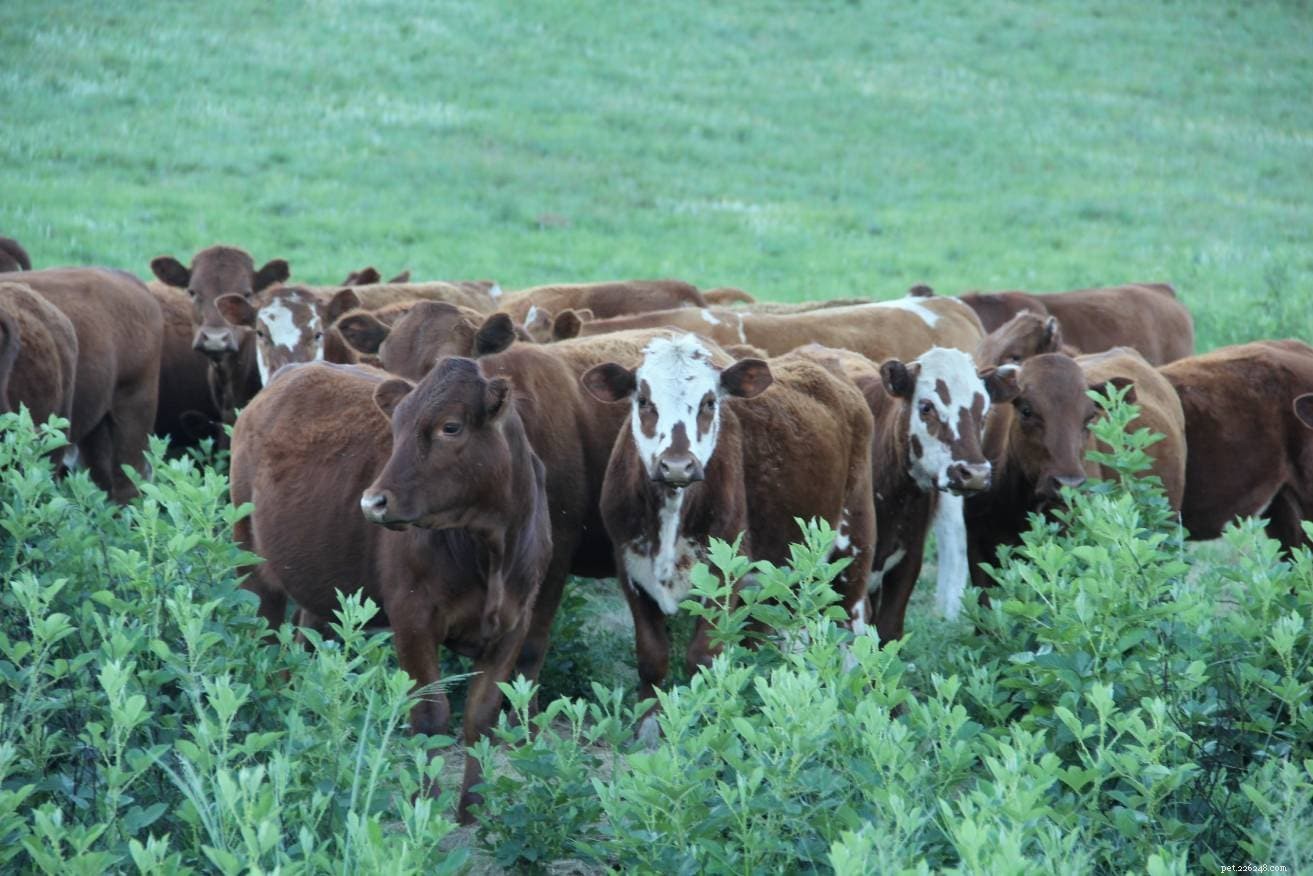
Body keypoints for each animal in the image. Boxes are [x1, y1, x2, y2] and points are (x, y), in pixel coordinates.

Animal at [230, 358, 551, 823]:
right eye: (396, 428)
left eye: (450, 427)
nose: (373, 503)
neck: (491, 552)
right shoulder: (413, 618)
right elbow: (430, 714)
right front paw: (426, 809)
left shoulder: (514, 623)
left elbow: (482, 716)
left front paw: (474, 809)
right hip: (253, 568)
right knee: (268, 649)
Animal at [581, 335, 876, 728]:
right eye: (643, 400)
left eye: (709, 402)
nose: (677, 465)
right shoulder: (630, 568)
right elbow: (652, 657)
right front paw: (648, 727)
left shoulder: (725, 574)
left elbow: (703, 659)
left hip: (853, 544)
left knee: (852, 630)